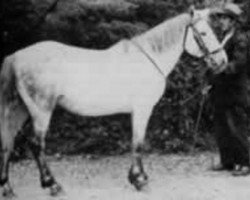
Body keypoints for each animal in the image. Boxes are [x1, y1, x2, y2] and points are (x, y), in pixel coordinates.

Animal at [0, 6, 232, 197]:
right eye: (204, 33)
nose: (222, 62)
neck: (147, 58)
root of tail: (16, 56)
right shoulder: (142, 109)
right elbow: (138, 143)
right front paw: (140, 180)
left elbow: (134, 142)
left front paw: (135, 178)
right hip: (41, 110)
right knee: (36, 144)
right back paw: (52, 185)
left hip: (19, 109)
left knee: (7, 143)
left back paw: (8, 188)